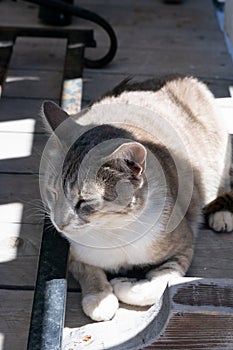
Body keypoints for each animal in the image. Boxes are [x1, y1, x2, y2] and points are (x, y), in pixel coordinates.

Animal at [40, 76, 233, 322]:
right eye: (52, 193)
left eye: (83, 201)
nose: (58, 223)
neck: (112, 231)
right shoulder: (73, 253)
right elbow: (88, 271)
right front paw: (99, 299)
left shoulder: (184, 244)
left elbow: (158, 286)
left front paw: (123, 285)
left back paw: (222, 214)